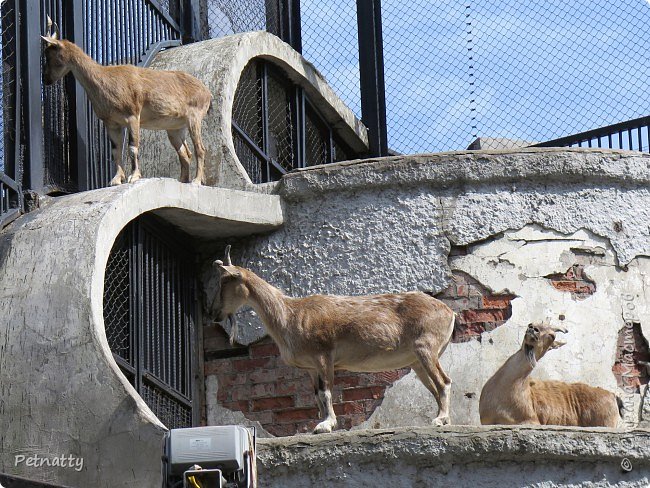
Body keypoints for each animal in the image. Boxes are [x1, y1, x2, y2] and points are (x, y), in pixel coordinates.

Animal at [40, 18, 211, 185]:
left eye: (48, 55)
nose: (46, 79)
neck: (105, 80)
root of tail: (207, 92)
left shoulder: (133, 116)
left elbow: (132, 147)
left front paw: (133, 176)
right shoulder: (112, 123)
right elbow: (115, 151)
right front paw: (116, 180)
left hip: (194, 118)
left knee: (200, 149)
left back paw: (196, 181)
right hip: (175, 128)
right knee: (185, 152)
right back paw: (183, 180)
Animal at [210, 246, 454, 432]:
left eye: (225, 282)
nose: (214, 313)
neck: (289, 314)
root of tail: (449, 312)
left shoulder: (323, 356)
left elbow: (326, 392)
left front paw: (326, 425)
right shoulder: (310, 367)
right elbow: (317, 396)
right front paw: (319, 423)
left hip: (425, 348)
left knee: (444, 382)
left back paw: (440, 419)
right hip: (416, 361)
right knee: (435, 388)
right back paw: (444, 419)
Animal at [476, 322, 624, 426]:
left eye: (552, 336)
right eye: (531, 323)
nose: (533, 328)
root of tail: (613, 396)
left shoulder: (532, 420)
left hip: (606, 422)